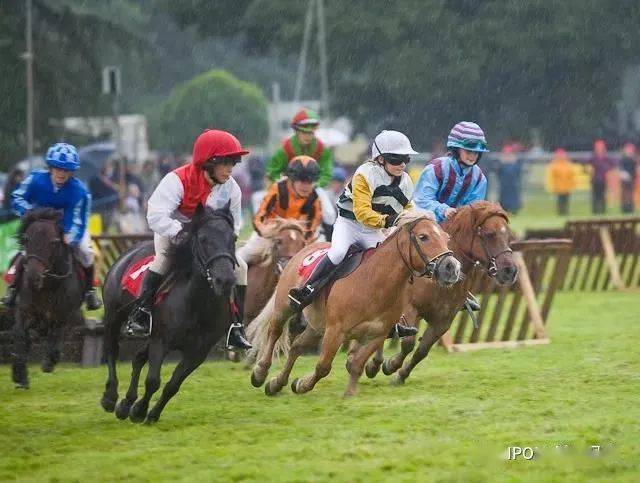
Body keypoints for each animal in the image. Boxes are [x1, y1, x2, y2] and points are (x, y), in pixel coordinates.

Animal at [9, 209, 85, 390]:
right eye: (26, 239)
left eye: (53, 242)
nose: (32, 278)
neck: (47, 286)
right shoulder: (25, 310)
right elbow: (19, 334)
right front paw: (19, 375)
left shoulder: (62, 314)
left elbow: (55, 335)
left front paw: (49, 362)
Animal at [101, 204, 236, 424]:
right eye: (203, 239)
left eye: (233, 238)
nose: (224, 280)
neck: (198, 303)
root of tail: (128, 253)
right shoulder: (161, 341)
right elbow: (153, 381)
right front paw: (139, 411)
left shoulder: (198, 352)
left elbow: (173, 385)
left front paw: (150, 413)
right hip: (113, 315)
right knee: (112, 349)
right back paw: (110, 397)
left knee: (138, 357)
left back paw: (126, 403)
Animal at [249, 211, 460, 398]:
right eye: (423, 237)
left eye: (446, 237)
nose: (452, 267)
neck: (375, 282)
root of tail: (304, 249)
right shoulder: (336, 331)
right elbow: (323, 365)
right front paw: (302, 384)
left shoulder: (377, 334)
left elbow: (356, 364)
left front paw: (349, 393)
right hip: (284, 306)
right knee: (275, 331)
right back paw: (260, 373)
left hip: (317, 326)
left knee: (296, 347)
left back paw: (276, 384)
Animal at [364, 200, 520, 386]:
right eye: (489, 234)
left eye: (508, 235)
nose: (510, 271)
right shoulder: (410, 309)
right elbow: (408, 342)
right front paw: (390, 365)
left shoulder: (443, 320)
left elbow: (422, 351)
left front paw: (400, 375)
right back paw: (374, 364)